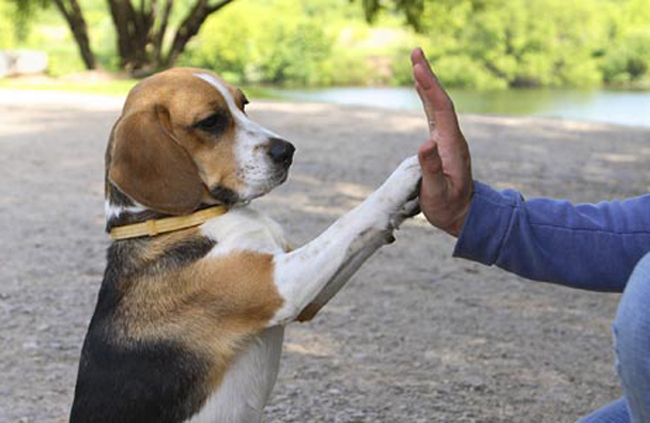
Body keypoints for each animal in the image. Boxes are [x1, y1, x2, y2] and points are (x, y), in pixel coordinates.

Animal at [68, 68, 418, 422]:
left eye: (244, 104)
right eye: (211, 122)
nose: (287, 151)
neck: (180, 219)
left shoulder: (308, 296)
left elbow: (360, 233)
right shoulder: (282, 286)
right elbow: (349, 219)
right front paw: (408, 172)